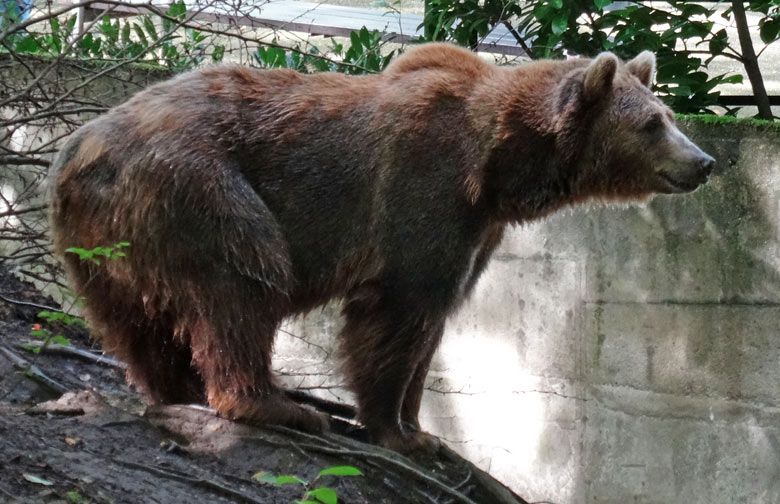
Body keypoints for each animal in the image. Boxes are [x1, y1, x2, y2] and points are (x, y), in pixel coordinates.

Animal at [48, 43, 712, 452]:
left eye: (667, 114)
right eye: (652, 123)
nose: (704, 161)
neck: (501, 168)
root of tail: (78, 148)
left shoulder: (479, 227)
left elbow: (438, 315)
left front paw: (421, 429)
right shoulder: (424, 190)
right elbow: (400, 310)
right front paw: (396, 427)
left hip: (105, 242)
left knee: (137, 320)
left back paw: (178, 388)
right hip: (197, 183)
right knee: (245, 277)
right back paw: (274, 403)